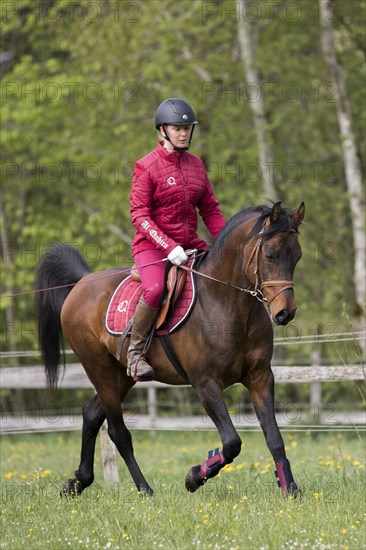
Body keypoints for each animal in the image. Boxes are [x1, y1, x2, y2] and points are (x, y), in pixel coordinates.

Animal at [34, 202, 304, 500]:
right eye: (270, 255)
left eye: (297, 256)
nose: (285, 313)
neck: (225, 303)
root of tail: (82, 283)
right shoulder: (206, 384)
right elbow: (232, 442)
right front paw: (194, 477)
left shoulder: (260, 378)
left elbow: (275, 438)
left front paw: (290, 488)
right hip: (100, 371)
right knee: (118, 432)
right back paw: (144, 489)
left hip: (121, 376)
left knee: (92, 414)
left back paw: (78, 481)